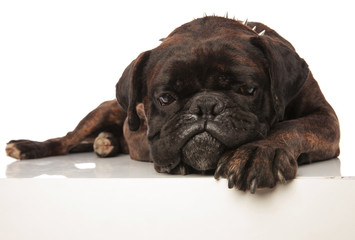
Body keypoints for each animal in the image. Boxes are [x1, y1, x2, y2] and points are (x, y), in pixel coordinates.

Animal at [4, 16, 340, 193]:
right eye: (165, 98)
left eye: (247, 89)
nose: (205, 107)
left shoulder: (325, 119)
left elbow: (291, 126)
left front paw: (259, 152)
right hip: (101, 111)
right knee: (67, 140)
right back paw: (29, 147)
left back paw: (106, 143)